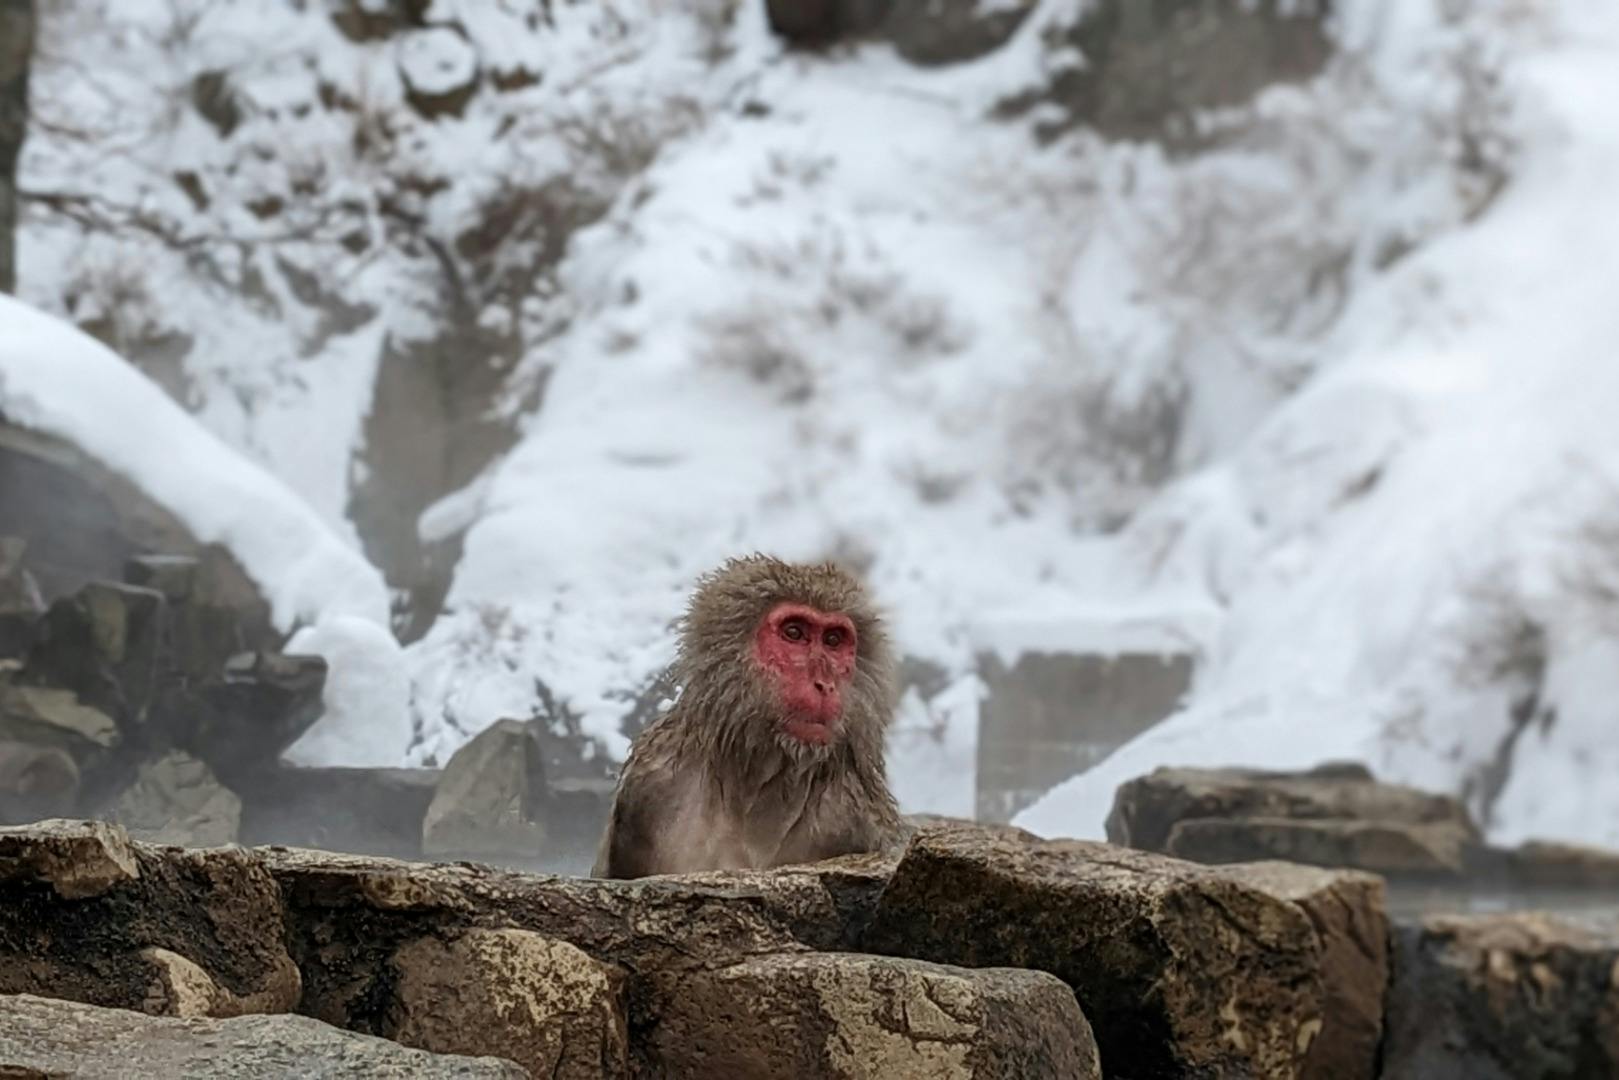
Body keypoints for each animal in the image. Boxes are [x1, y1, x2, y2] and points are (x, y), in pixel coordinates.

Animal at [592, 553, 902, 879]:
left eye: (833, 640)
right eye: (794, 632)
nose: (824, 684)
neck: (760, 777)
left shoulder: (856, 819)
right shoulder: (649, 785)